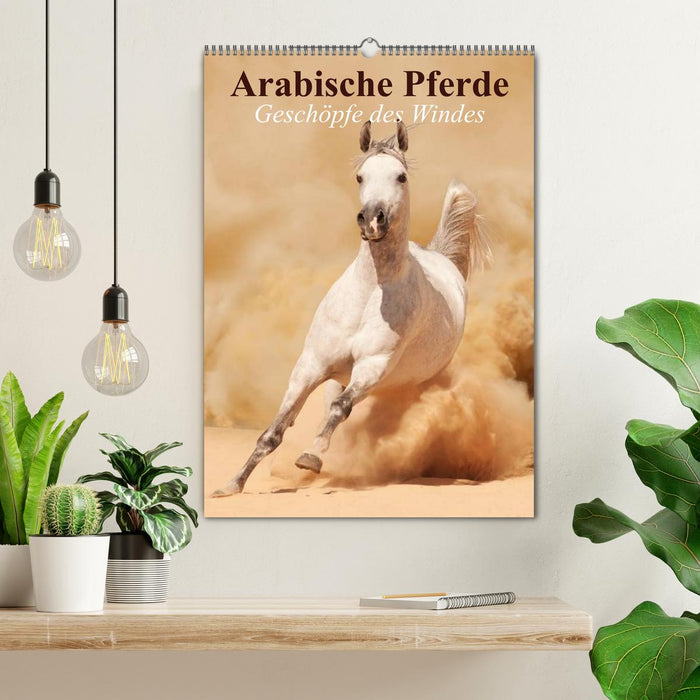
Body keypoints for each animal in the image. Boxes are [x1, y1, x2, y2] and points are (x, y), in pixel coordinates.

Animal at [212, 120, 492, 496]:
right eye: (360, 176)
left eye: (401, 176)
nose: (372, 219)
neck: (369, 295)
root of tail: (441, 257)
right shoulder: (311, 365)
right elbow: (275, 430)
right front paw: (232, 485)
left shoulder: (372, 366)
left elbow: (339, 409)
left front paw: (311, 457)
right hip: (340, 375)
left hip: (406, 381)